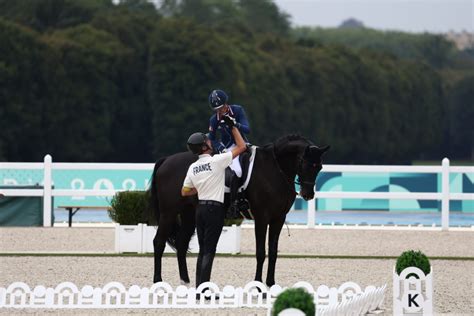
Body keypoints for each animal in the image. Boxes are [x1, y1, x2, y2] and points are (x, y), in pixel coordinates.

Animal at [150, 135, 328, 288]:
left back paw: (185, 281)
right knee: (159, 242)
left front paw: (271, 283)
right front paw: (258, 284)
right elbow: (261, 252)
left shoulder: (278, 218)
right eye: (305, 164)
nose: (308, 194)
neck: (276, 169)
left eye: (319, 167)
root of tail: (166, 160)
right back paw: (158, 280)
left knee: (181, 244)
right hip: (168, 212)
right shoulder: (262, 218)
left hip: (189, 214)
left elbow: (273, 251)